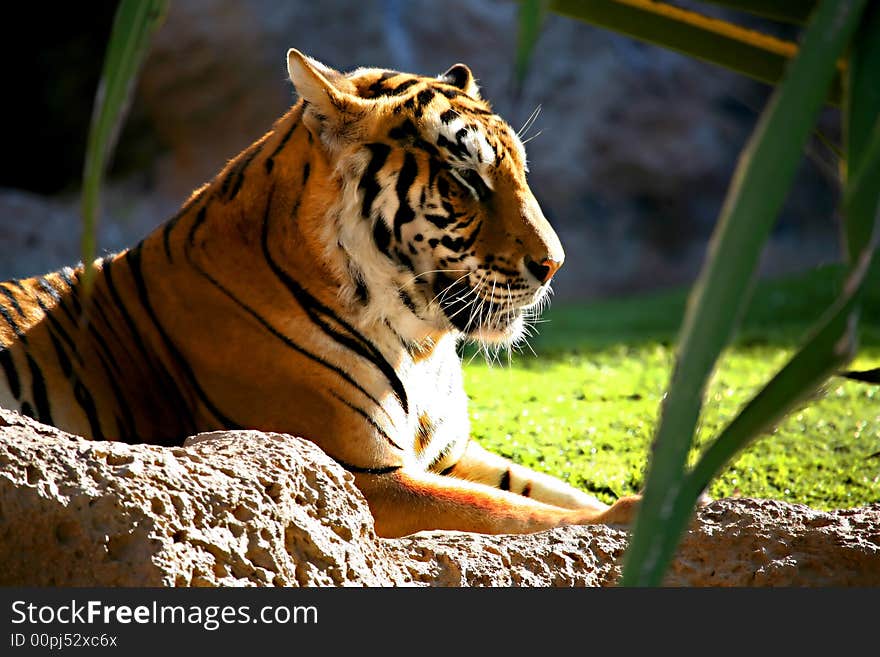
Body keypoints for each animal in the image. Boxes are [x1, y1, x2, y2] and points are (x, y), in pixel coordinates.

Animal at [0, 48, 640, 536]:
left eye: (520, 172)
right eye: (466, 180)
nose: (553, 264)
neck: (422, 344)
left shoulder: (452, 455)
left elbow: (551, 494)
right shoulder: (362, 477)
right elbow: (521, 514)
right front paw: (633, 518)